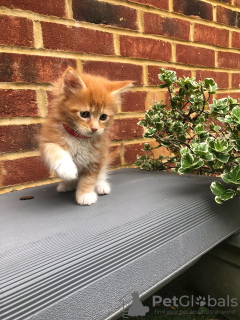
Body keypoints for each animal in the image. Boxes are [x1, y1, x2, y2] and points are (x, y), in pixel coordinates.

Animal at [40, 69, 132, 206]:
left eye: (103, 117)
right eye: (84, 114)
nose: (94, 129)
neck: (79, 138)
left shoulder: (96, 157)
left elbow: (89, 178)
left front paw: (85, 194)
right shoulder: (48, 140)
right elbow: (55, 151)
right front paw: (67, 169)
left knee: (101, 173)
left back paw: (101, 185)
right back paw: (67, 183)